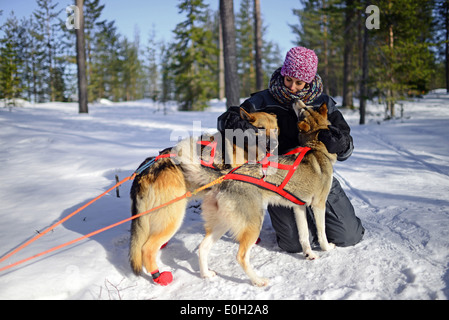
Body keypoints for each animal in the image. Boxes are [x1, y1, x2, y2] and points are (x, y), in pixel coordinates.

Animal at [128, 109, 278, 286]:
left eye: (275, 129)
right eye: (260, 128)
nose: (274, 143)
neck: (244, 148)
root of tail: (144, 172)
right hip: (173, 218)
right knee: (147, 248)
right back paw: (158, 276)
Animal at [176, 101, 336, 286]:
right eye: (304, 109)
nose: (296, 101)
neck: (315, 147)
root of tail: (225, 176)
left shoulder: (299, 207)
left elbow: (303, 236)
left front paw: (309, 254)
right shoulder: (318, 205)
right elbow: (322, 231)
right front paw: (327, 248)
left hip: (222, 223)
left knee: (203, 248)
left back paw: (206, 274)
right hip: (253, 223)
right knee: (241, 256)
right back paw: (258, 280)